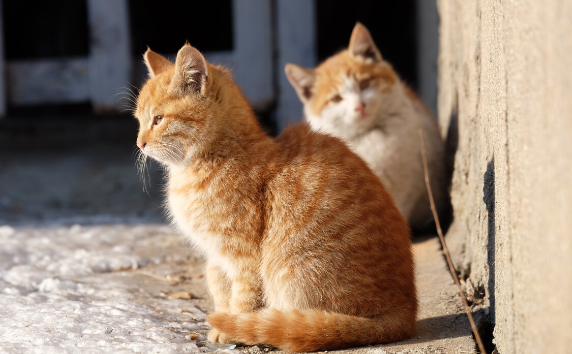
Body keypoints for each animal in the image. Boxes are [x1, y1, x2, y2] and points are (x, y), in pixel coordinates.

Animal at [136, 41, 418, 352]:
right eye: (139, 120)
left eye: (158, 119)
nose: (139, 143)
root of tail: (406, 310)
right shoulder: (216, 257)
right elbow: (218, 284)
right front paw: (223, 320)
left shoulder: (244, 257)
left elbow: (243, 297)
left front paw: (232, 327)